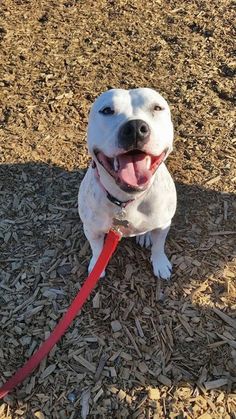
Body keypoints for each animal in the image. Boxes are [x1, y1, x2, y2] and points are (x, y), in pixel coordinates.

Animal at [78, 88, 176, 278]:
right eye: (107, 110)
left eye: (157, 107)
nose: (135, 128)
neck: (125, 200)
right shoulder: (91, 229)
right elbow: (97, 249)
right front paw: (96, 267)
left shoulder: (163, 225)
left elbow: (159, 246)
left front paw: (160, 263)